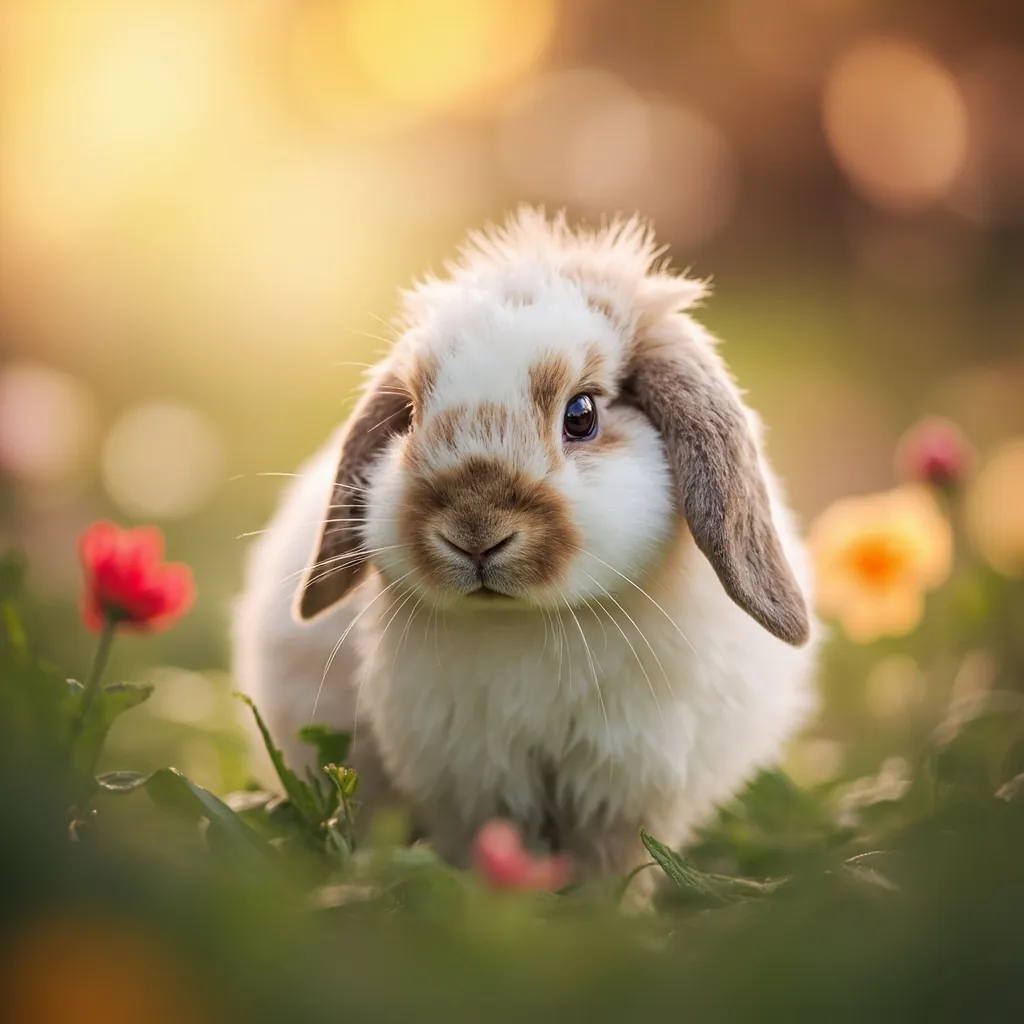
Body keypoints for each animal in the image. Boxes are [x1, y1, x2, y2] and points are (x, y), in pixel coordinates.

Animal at [233, 208, 820, 898]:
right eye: (409, 415)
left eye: (582, 414)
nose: (474, 532)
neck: (532, 624)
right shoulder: (470, 779)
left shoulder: (624, 789)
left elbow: (611, 868)